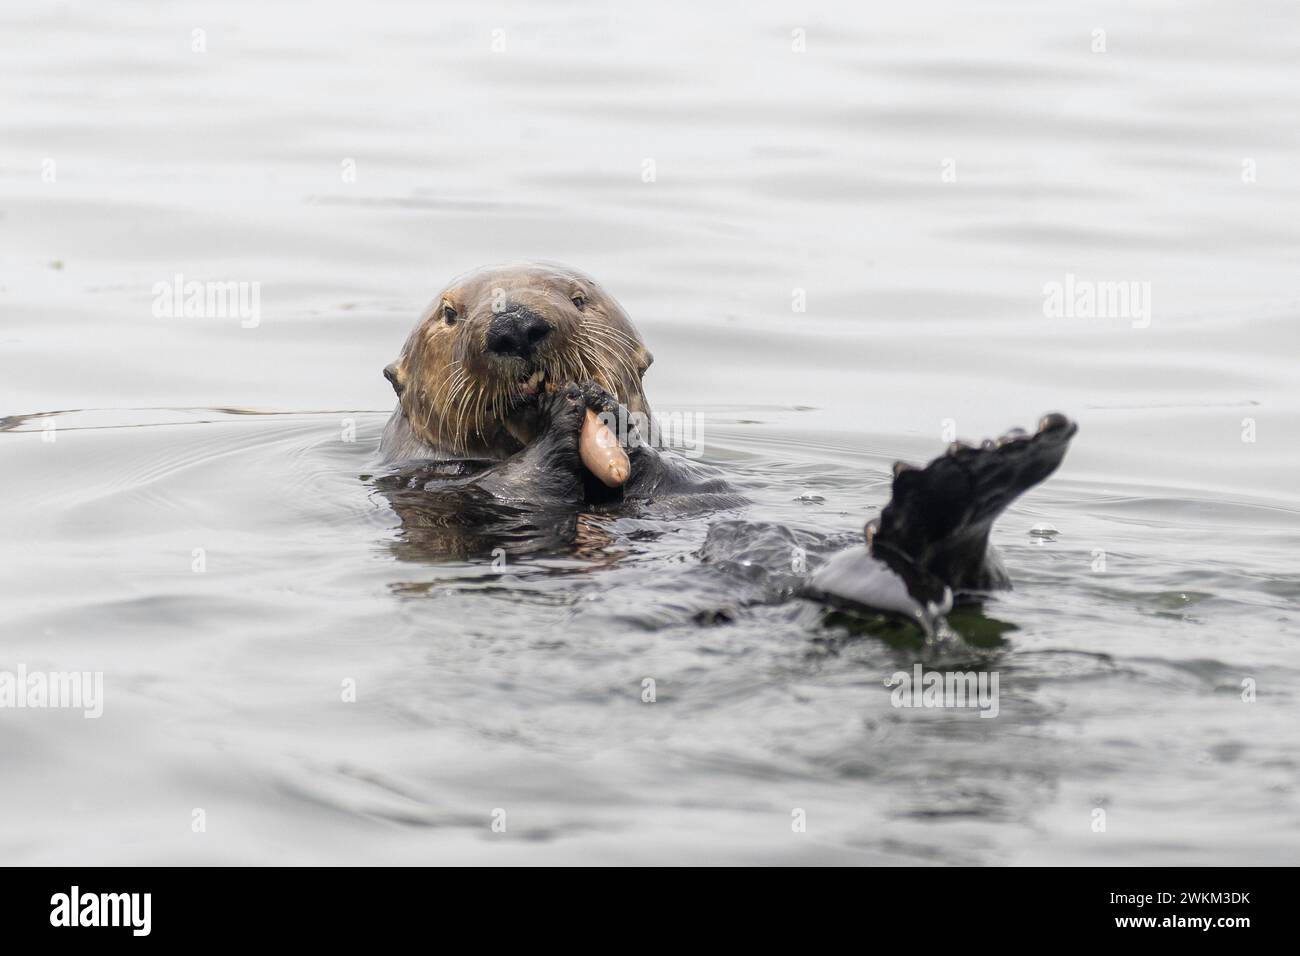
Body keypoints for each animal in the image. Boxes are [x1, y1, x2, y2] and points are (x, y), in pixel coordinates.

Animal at [375, 261, 1077, 627]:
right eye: (450, 314)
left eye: (578, 297)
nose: (517, 323)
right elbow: (508, 484)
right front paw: (566, 415)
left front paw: (609, 416)